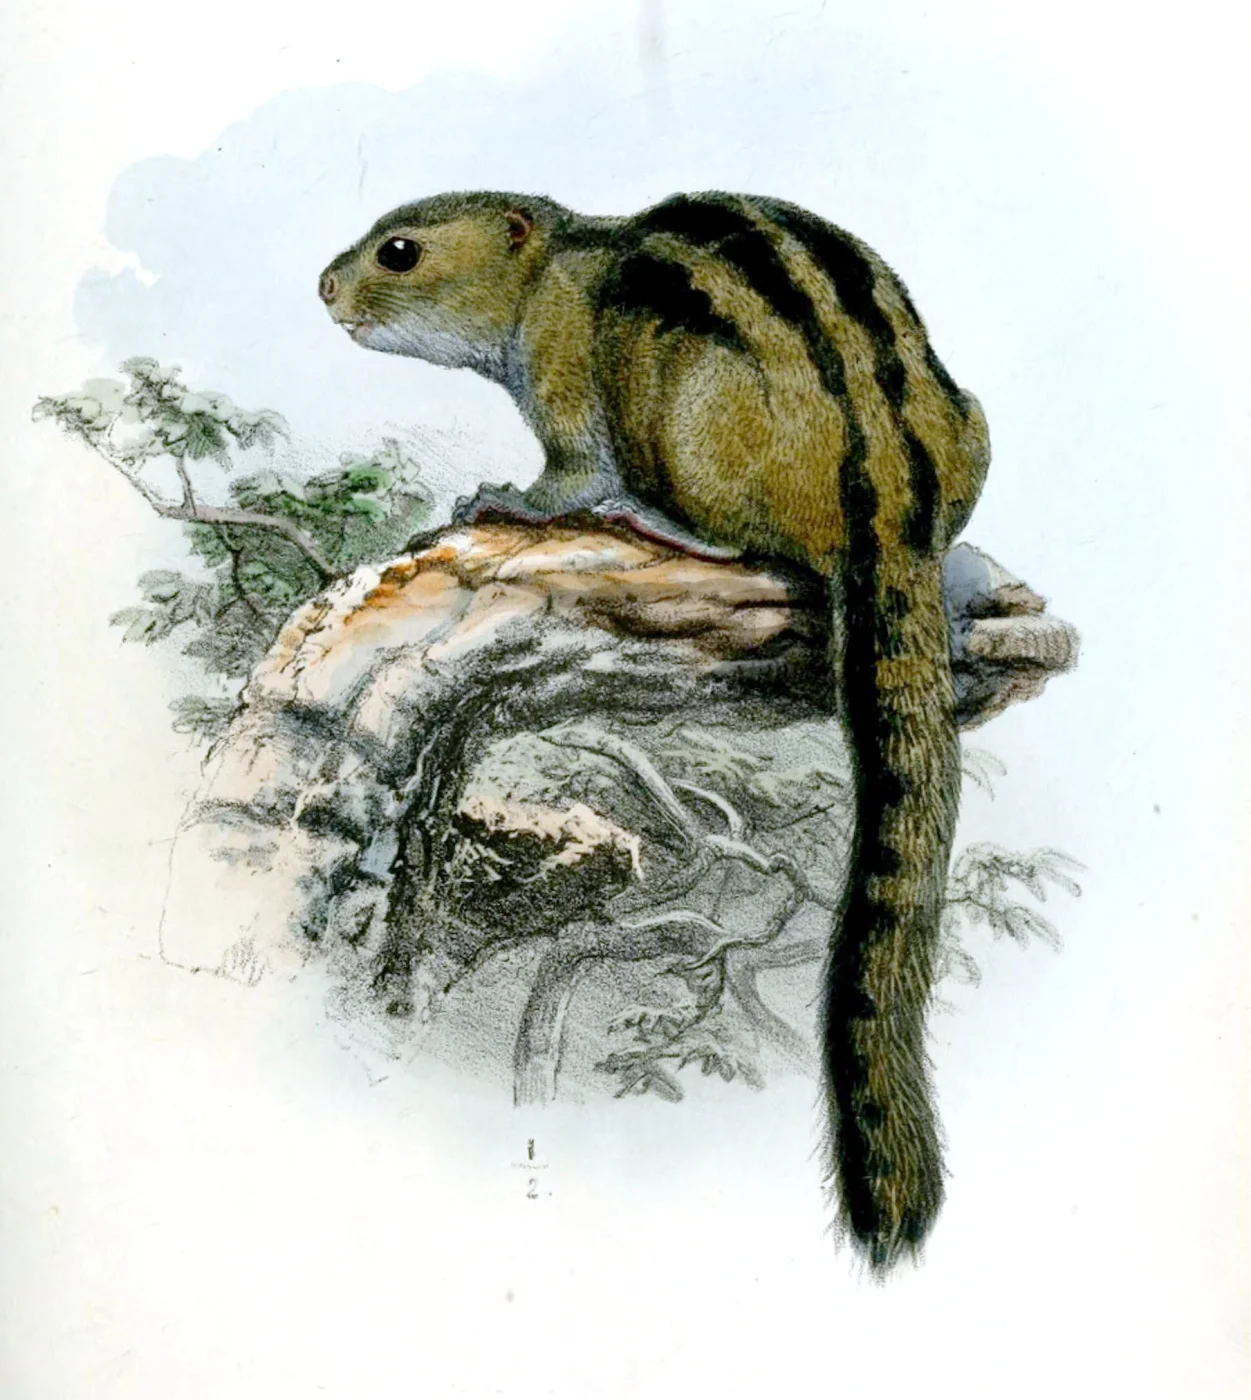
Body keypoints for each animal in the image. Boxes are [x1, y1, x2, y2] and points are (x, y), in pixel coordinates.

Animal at [319, 190, 991, 1271]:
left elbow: (567, 476)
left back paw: (667, 525)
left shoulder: (564, 377)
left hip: (679, 431)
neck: (554, 263)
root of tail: (888, 495)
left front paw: (503, 497)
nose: (324, 286)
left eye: (400, 251)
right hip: (973, 425)